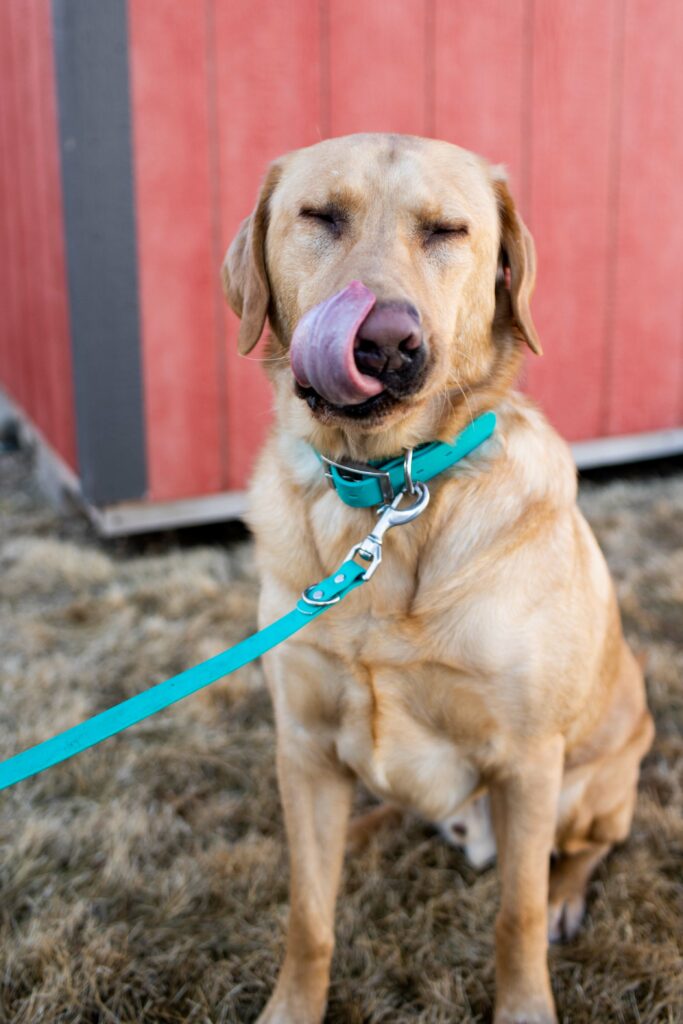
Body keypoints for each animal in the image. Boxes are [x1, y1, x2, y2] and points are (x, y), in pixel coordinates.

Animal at [222, 136, 655, 1024]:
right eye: (320, 216)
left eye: (447, 231)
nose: (384, 341)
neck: (389, 491)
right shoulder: (303, 744)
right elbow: (308, 916)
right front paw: (291, 1005)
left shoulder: (527, 761)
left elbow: (514, 917)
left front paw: (525, 1007)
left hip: (589, 783)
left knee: (584, 851)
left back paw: (566, 895)